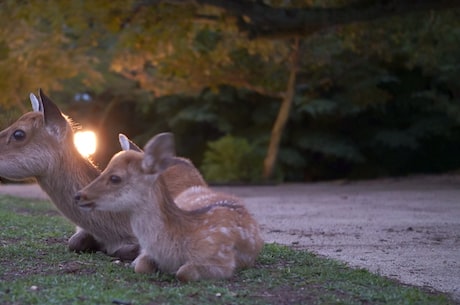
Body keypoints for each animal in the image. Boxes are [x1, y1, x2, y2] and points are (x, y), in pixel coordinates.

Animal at [75, 132, 262, 280]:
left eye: (115, 178)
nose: (78, 195)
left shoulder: (223, 260)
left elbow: (184, 273)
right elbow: (141, 266)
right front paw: (133, 263)